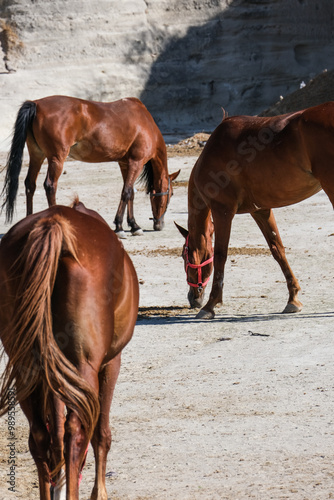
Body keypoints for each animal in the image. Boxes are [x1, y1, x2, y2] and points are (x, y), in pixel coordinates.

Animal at [0, 200, 139, 500]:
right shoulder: (110, 363)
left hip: (27, 369)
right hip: (84, 365)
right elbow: (100, 434)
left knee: (40, 435)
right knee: (75, 431)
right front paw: (99, 493)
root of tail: (55, 225)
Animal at [1, 95, 180, 236]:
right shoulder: (136, 162)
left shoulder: (125, 163)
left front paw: (134, 225)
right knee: (50, 186)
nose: (159, 224)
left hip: (37, 155)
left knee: (30, 185)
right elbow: (127, 192)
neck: (145, 123)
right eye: (170, 194)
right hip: (56, 158)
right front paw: (120, 227)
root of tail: (36, 104)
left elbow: (131, 193)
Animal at [176, 102, 334, 320]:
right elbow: (277, 249)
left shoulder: (222, 210)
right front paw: (293, 299)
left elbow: (220, 255)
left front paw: (210, 305)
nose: (193, 298)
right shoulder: (261, 210)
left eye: (184, 257)